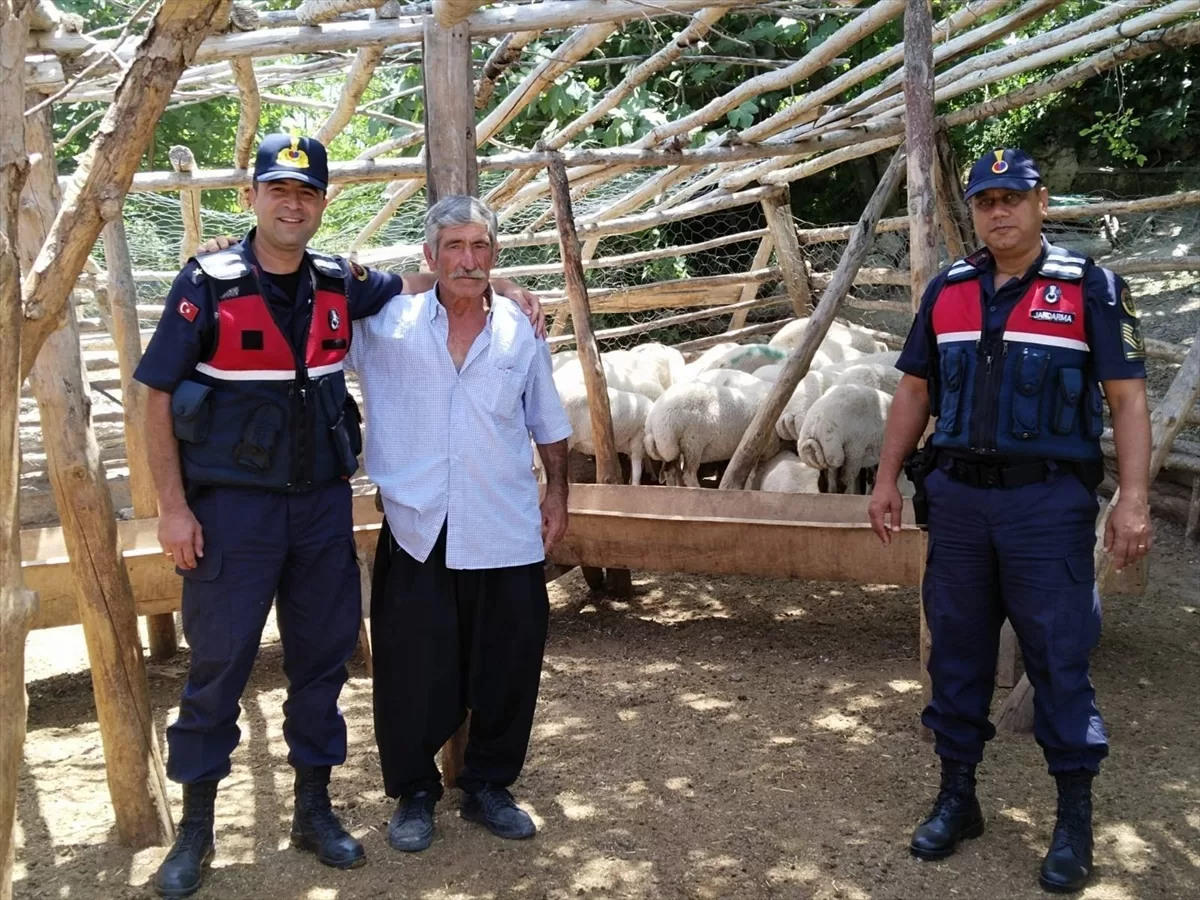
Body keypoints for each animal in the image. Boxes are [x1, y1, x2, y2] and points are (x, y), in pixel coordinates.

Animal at [648, 379, 777, 489]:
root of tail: (655, 419)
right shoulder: (760, 446)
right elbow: (751, 473)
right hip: (693, 442)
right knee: (688, 473)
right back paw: (696, 488)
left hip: (670, 445)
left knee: (670, 471)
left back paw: (676, 487)